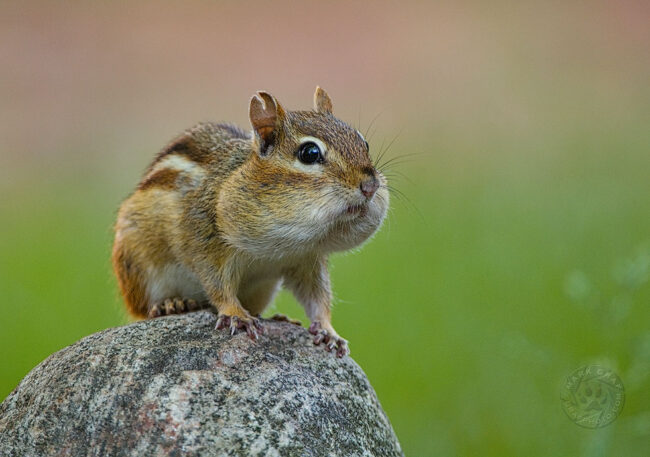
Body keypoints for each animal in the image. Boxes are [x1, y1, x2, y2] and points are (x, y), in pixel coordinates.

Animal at [111, 87, 389, 357]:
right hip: (139, 267)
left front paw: (328, 330)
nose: (370, 186)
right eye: (310, 153)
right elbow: (217, 283)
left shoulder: (306, 258)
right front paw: (236, 314)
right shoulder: (204, 237)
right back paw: (173, 303)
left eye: (363, 142)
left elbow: (318, 295)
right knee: (145, 310)